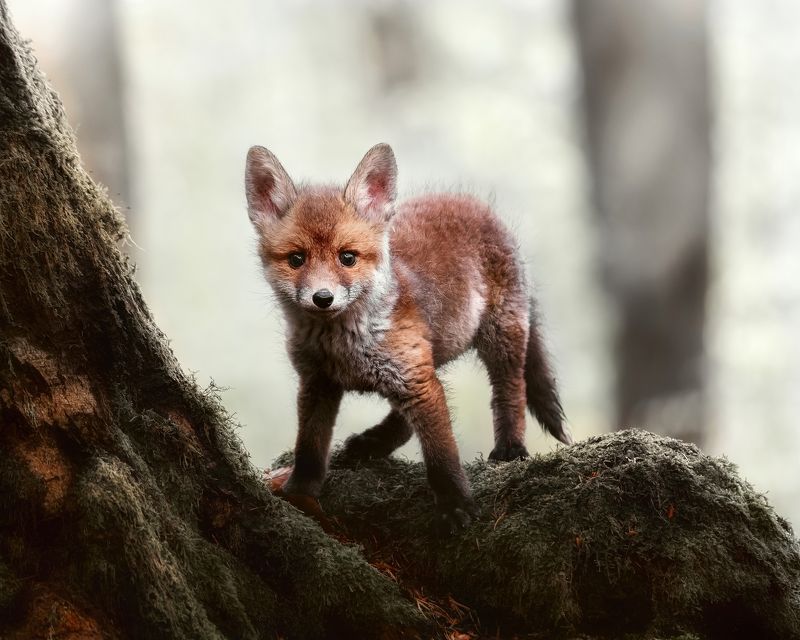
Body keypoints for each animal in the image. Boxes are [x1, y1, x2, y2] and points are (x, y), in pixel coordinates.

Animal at [246, 143, 572, 532]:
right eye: (296, 259)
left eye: (347, 257)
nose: (322, 298)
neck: (344, 348)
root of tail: (472, 203)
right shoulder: (318, 383)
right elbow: (309, 448)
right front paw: (298, 493)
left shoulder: (417, 383)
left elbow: (441, 452)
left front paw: (455, 503)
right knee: (403, 420)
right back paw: (371, 444)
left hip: (499, 336)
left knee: (511, 389)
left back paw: (510, 447)